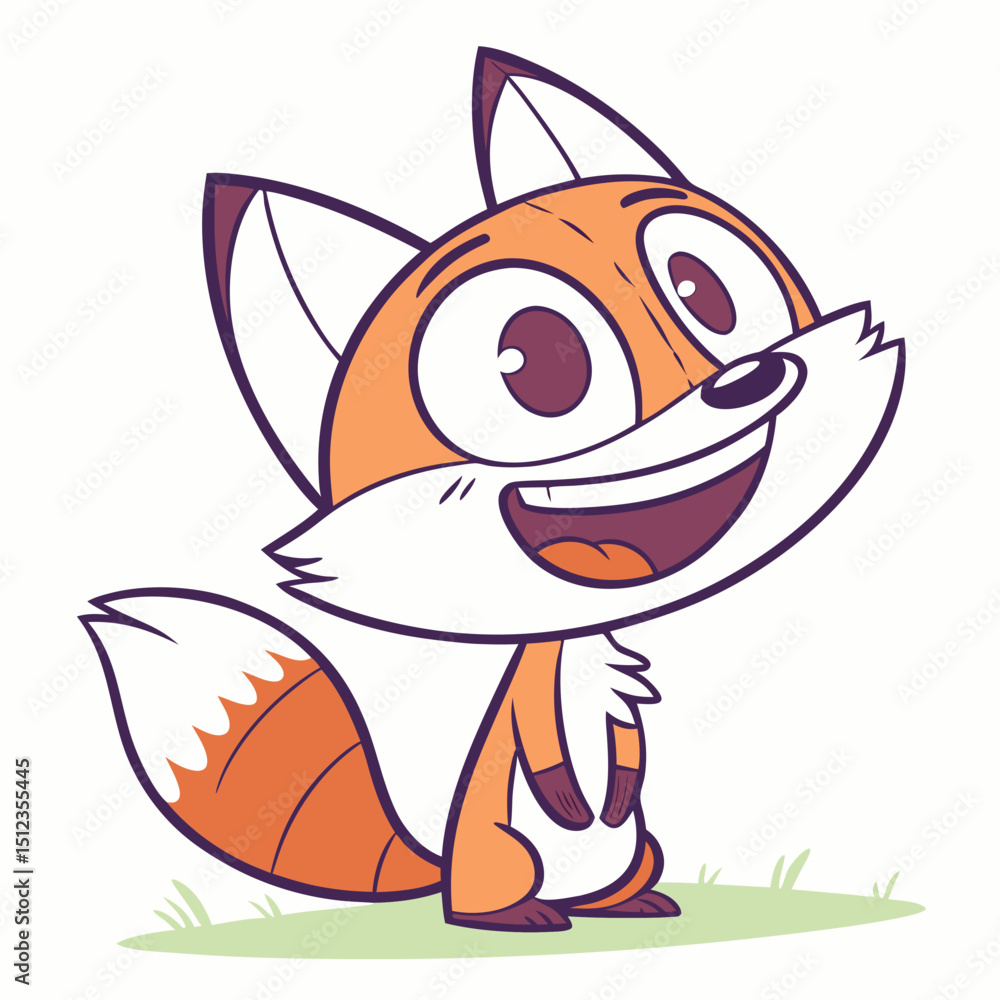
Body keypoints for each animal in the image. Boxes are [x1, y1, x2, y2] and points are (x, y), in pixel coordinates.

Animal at [82, 49, 903, 933]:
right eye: (532, 359)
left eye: (701, 291)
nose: (748, 380)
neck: (585, 629)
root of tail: (439, 867)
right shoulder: (539, 689)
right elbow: (547, 746)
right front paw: (573, 797)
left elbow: (625, 746)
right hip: (505, 855)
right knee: (493, 899)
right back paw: (519, 916)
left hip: (638, 847)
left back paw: (631, 902)